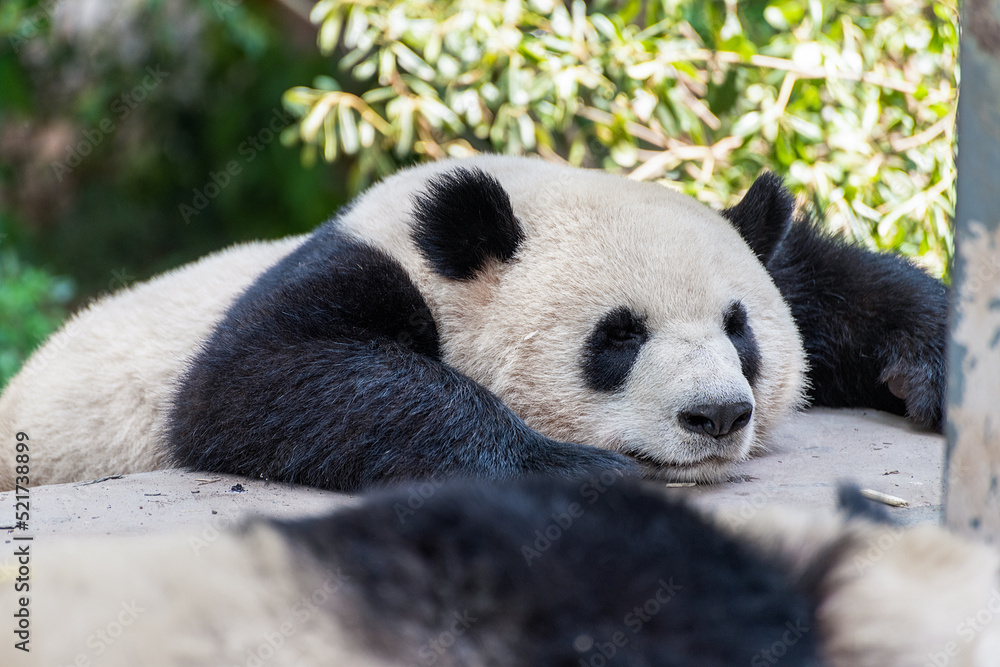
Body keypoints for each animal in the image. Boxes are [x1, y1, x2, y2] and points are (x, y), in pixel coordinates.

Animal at [0, 155, 944, 490]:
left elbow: (830, 280)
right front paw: (568, 466)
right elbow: (252, 384)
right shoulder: (355, 269)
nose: (715, 415)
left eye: (739, 329)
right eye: (619, 336)